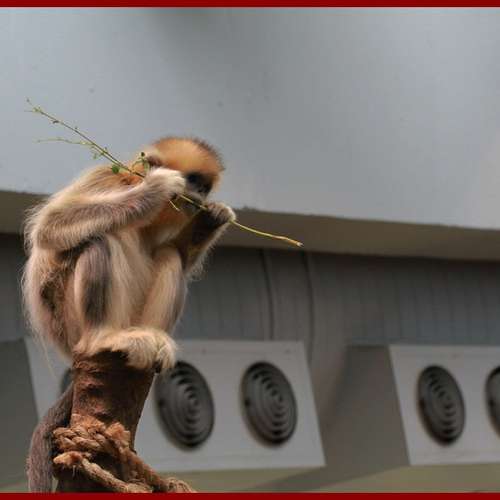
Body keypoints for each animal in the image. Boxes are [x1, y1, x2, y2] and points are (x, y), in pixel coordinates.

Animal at [23, 136, 235, 491]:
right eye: (192, 180)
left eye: (204, 187)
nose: (198, 196)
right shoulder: (104, 180)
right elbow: (52, 227)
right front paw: (153, 192)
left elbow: (180, 255)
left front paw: (212, 218)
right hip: (71, 320)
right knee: (101, 238)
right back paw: (104, 337)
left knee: (168, 254)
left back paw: (153, 340)